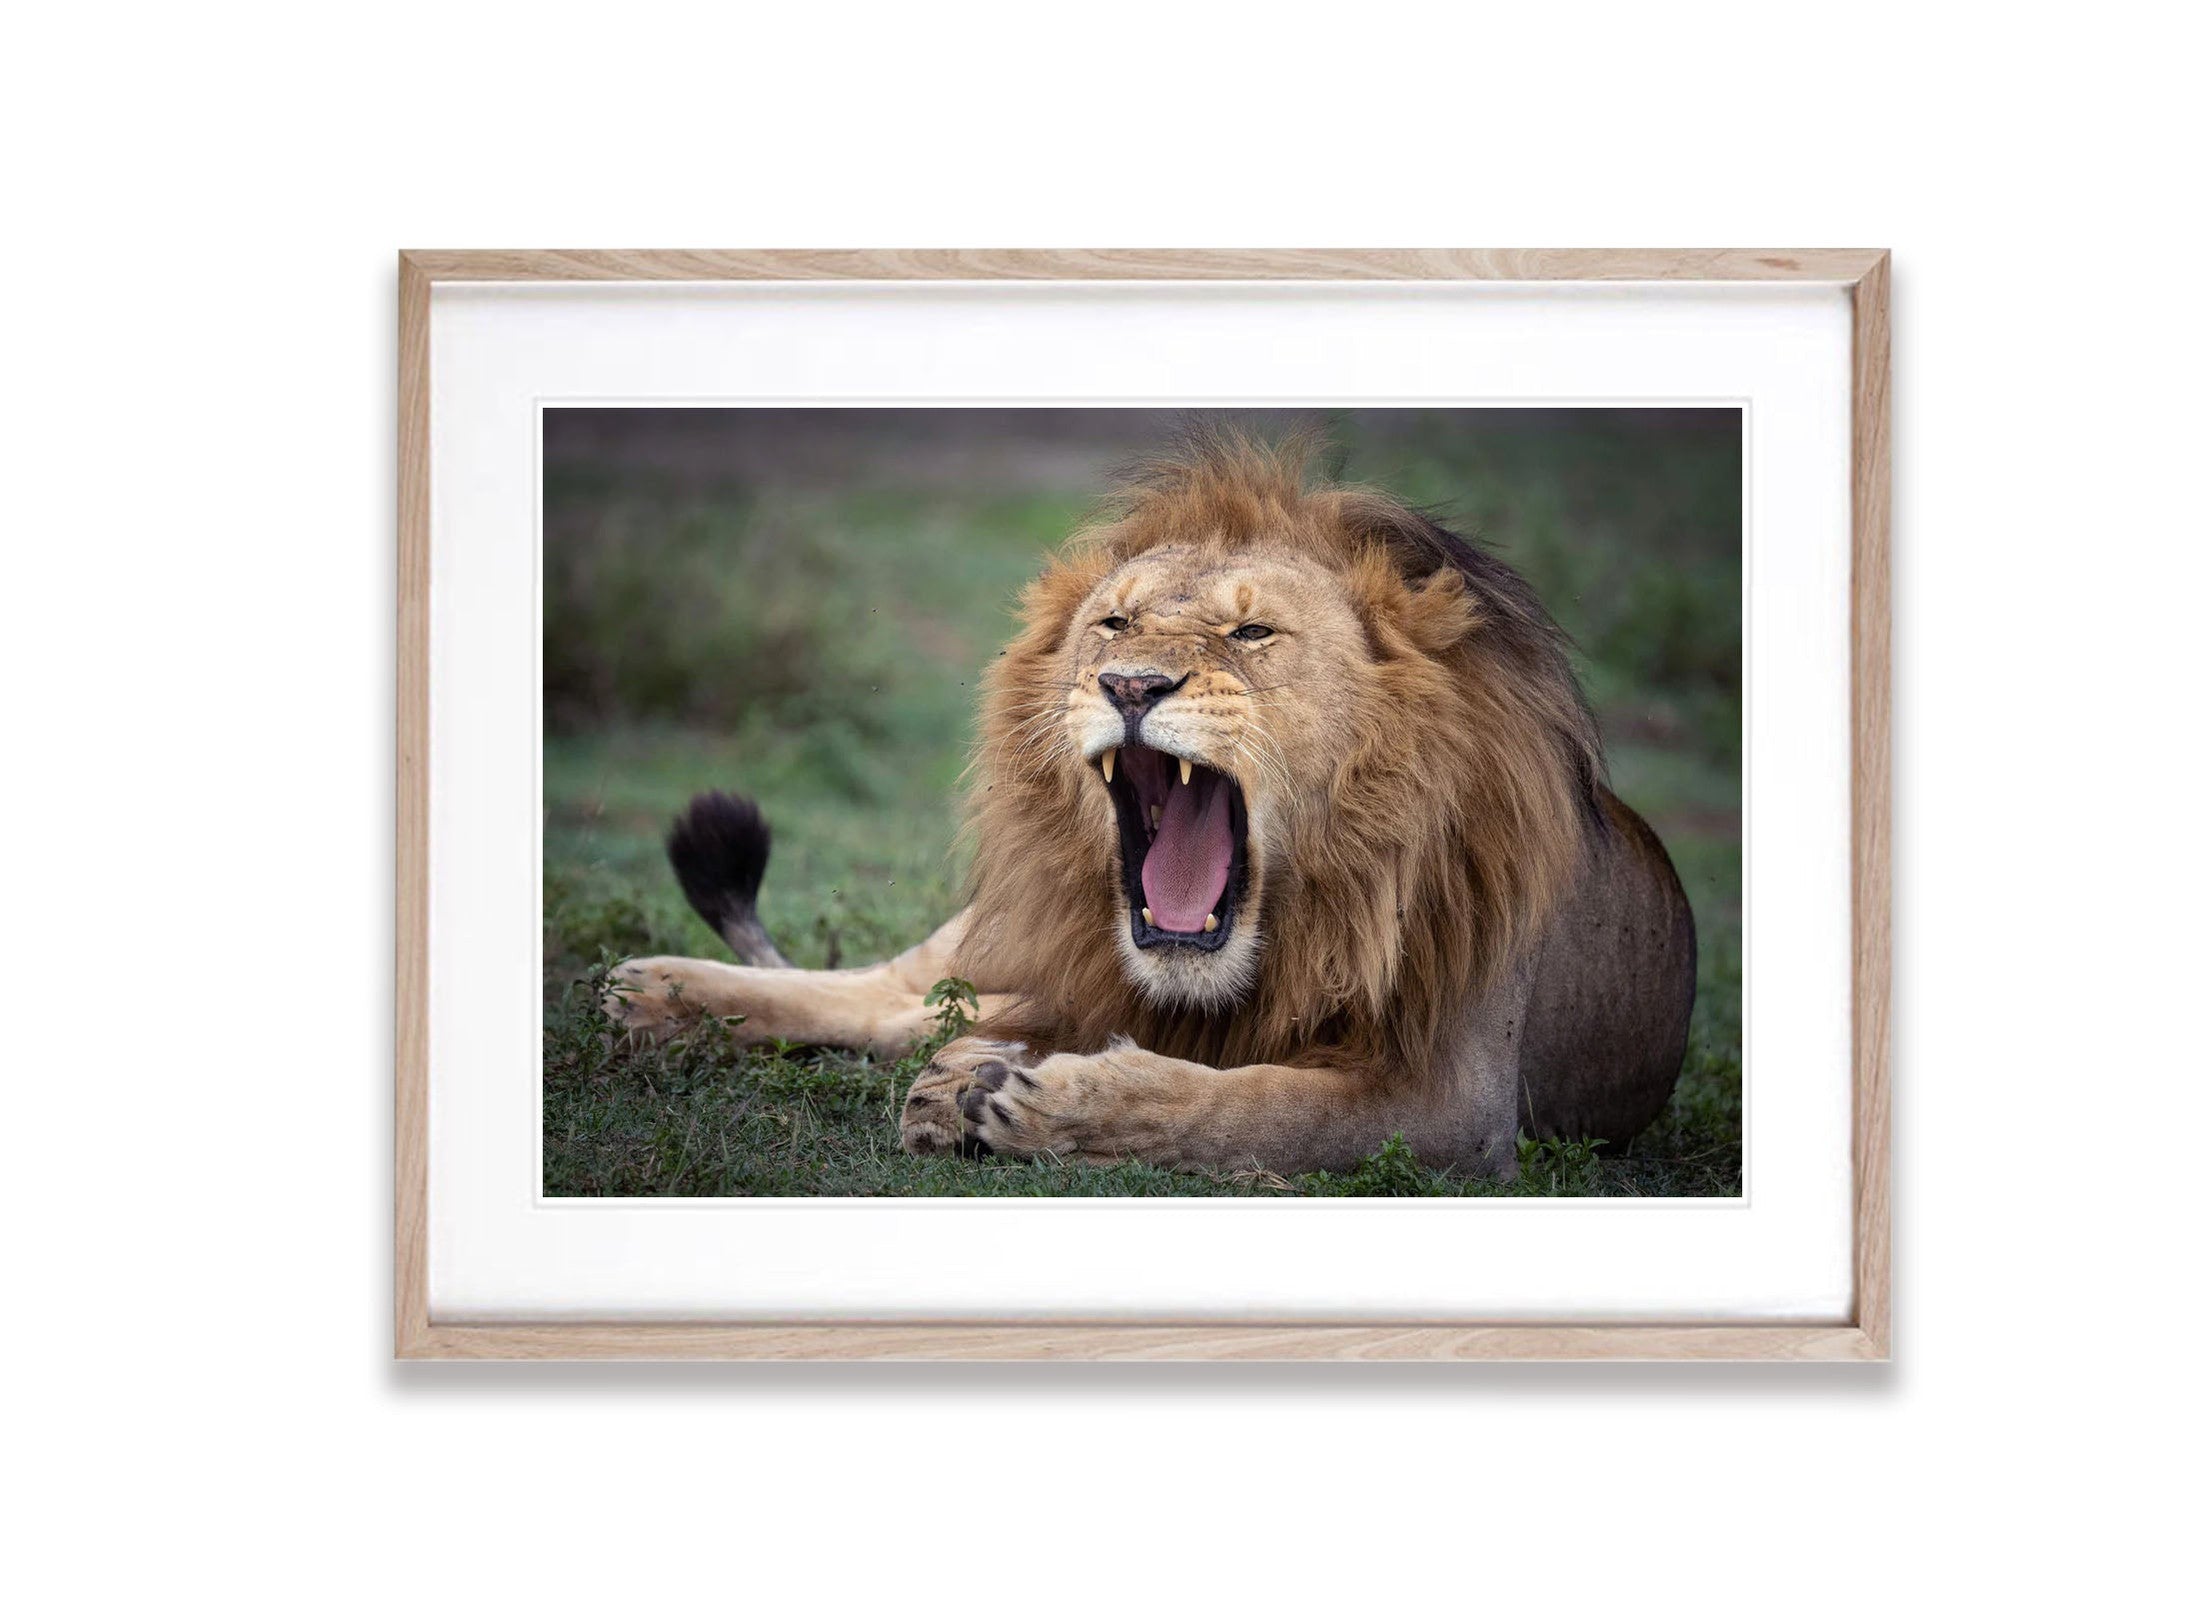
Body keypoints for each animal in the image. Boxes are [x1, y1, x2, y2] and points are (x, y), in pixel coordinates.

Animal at [608, 432, 1696, 1178]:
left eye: (1253, 632)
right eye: (1115, 623)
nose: (1130, 685)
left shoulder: (1459, 1107)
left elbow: (1260, 1107)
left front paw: (1046, 1102)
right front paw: (991, 1088)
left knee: (911, 1018)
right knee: (885, 993)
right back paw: (658, 992)